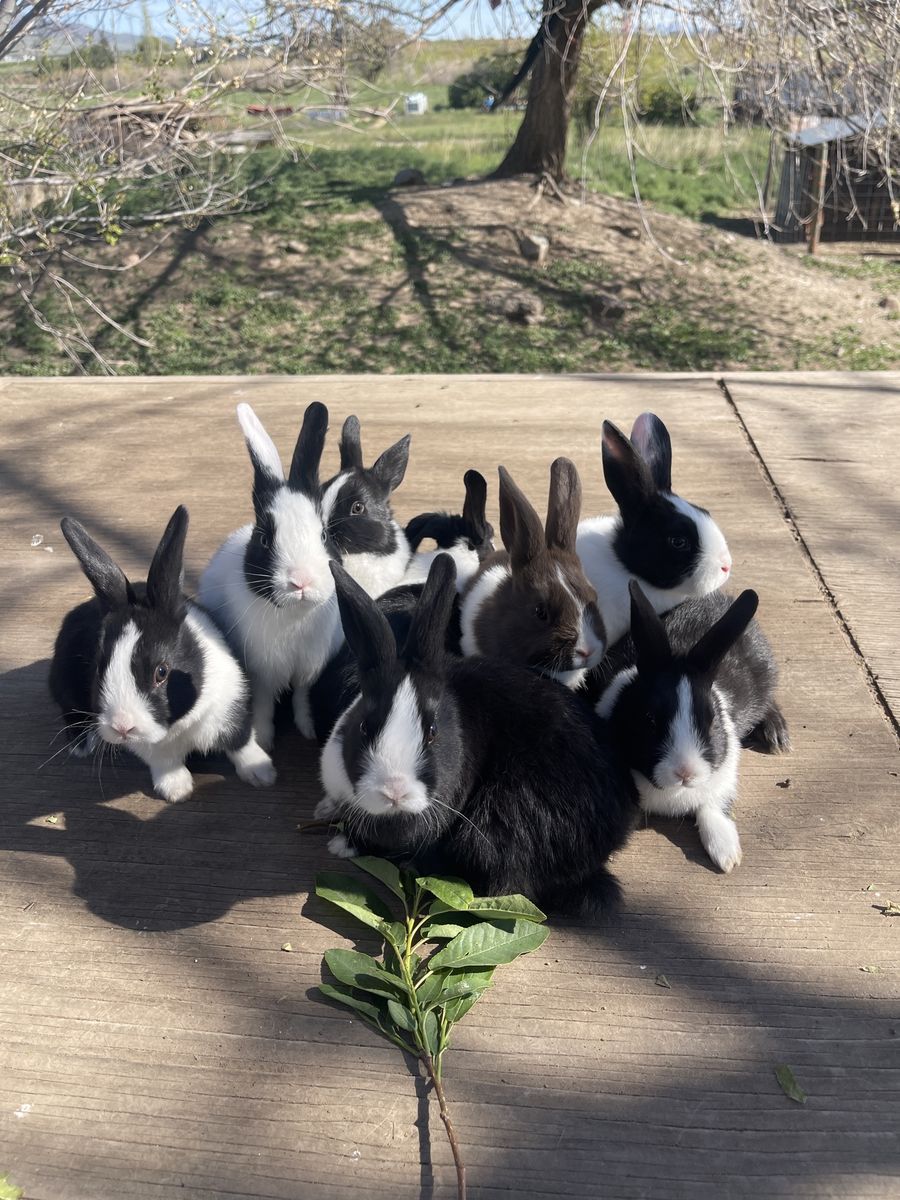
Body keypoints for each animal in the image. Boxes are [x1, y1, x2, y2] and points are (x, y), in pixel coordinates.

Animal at [49, 506, 276, 804]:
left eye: (162, 672)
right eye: (99, 667)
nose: (123, 727)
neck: (180, 725)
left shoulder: (231, 710)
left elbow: (241, 742)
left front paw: (262, 774)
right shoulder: (152, 748)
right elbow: (165, 762)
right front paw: (177, 790)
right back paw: (83, 745)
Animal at [198, 401, 344, 747]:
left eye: (324, 535)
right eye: (265, 540)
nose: (301, 581)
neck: (295, 616)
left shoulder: (307, 670)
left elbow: (302, 697)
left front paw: (308, 729)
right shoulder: (263, 674)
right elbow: (264, 705)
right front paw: (264, 740)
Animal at [597, 580, 788, 874]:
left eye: (712, 720)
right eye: (649, 719)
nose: (685, 773)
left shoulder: (723, 781)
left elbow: (712, 810)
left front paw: (727, 854)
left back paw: (776, 735)